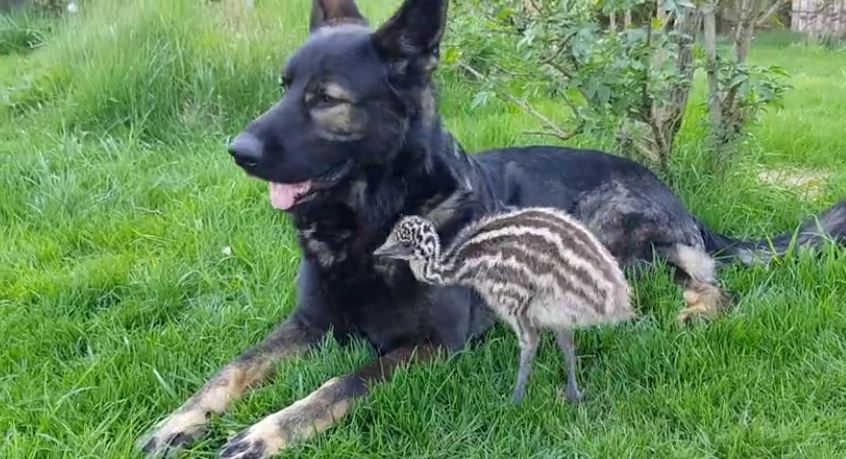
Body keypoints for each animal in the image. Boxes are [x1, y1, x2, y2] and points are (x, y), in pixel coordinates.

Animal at [141, 0, 846, 459]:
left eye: (326, 98)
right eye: (285, 87)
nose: (237, 151)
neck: (372, 222)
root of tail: (666, 186)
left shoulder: (432, 346)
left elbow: (338, 384)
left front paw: (263, 434)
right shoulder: (307, 323)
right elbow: (232, 369)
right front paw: (180, 421)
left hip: (605, 221)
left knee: (707, 281)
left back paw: (694, 312)